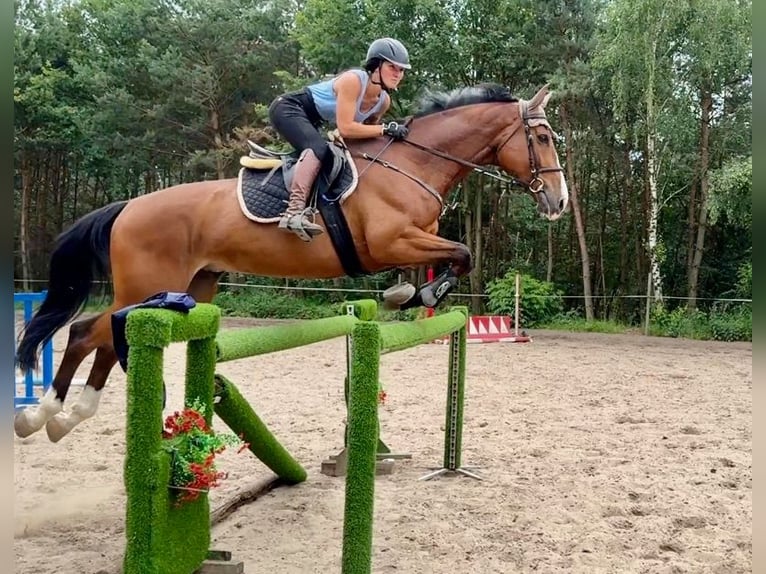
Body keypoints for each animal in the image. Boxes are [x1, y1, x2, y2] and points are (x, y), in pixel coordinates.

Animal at [13, 82, 568, 440]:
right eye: (541, 138)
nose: (558, 202)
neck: (413, 163)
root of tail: (128, 206)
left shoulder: (414, 241)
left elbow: (452, 259)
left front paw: (407, 294)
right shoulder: (392, 241)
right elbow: (462, 255)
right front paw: (418, 293)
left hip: (187, 287)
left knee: (107, 337)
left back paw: (66, 417)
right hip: (148, 286)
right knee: (87, 331)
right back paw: (40, 416)